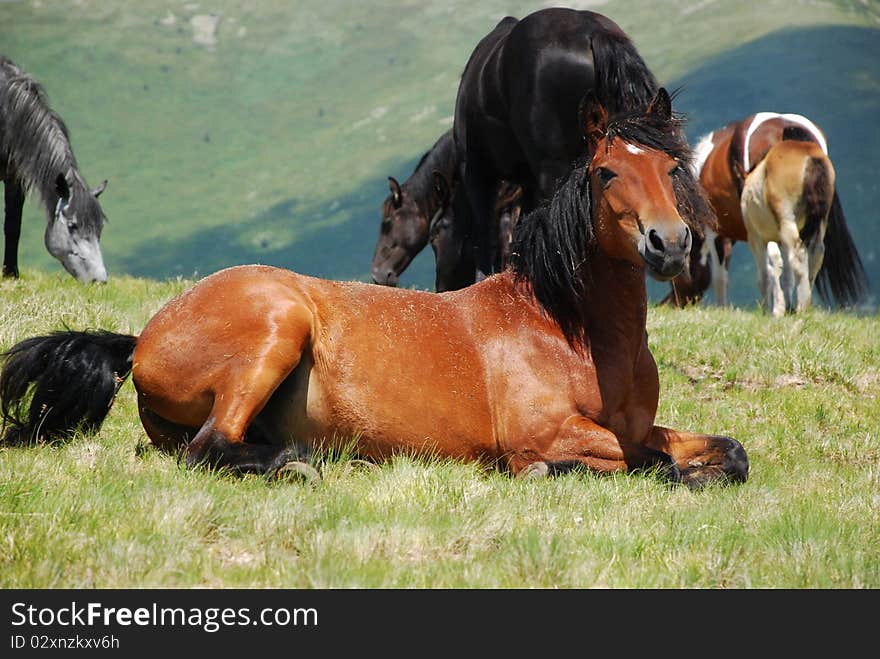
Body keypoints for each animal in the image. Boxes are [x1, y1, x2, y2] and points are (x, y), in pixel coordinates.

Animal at [0, 56, 109, 282]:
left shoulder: (15, 179)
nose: (100, 280)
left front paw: (11, 273)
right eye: (72, 225)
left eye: (100, 228)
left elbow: (13, 226)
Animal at [0, 89, 744, 490]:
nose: (669, 243)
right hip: (277, 327)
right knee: (209, 447)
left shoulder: (638, 426)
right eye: (607, 172)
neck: (566, 327)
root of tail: (142, 339)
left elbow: (723, 452)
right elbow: (649, 463)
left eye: (671, 168)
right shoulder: (550, 432)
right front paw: (546, 473)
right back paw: (299, 464)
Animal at [668, 112, 868, 314]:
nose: (674, 304)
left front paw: (725, 309)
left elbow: (721, 276)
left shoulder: (717, 233)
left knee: (781, 260)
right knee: (812, 254)